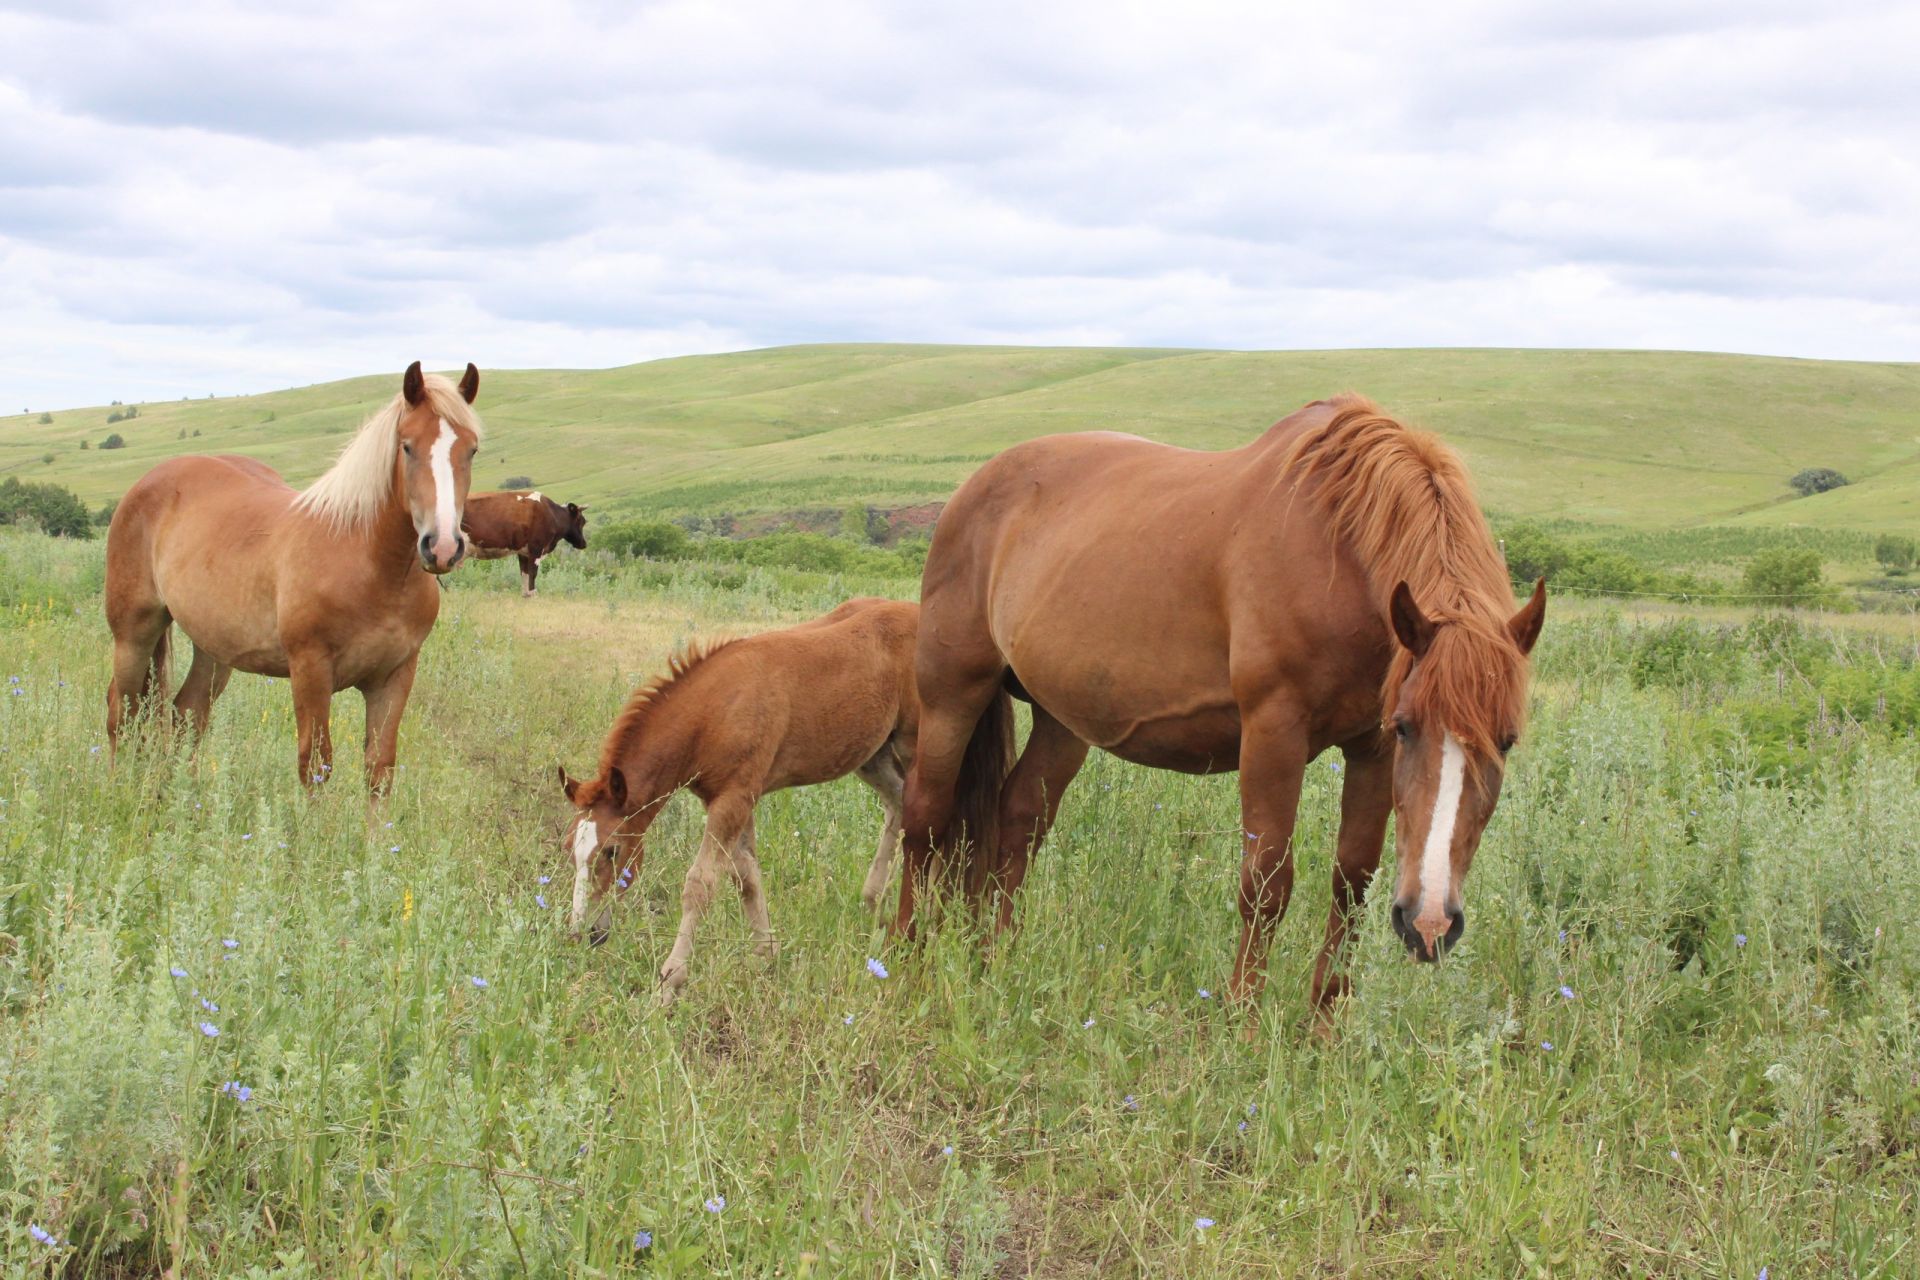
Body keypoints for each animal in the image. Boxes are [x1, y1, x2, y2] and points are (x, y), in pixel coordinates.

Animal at [103, 360, 487, 794]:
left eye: (471, 449)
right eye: (407, 446)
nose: (442, 546)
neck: (371, 565)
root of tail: (147, 483)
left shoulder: (395, 676)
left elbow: (379, 769)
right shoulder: (310, 670)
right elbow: (316, 764)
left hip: (213, 647)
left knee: (187, 713)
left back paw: (181, 795)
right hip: (134, 633)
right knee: (121, 709)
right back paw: (117, 790)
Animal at [556, 598, 967, 997]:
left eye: (612, 851)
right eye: (568, 847)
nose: (583, 933)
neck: (715, 712)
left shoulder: (734, 798)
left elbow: (700, 885)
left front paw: (669, 982)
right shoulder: (733, 797)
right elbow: (746, 876)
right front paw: (766, 957)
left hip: (915, 740)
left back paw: (926, 907)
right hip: (872, 754)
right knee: (898, 806)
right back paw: (874, 900)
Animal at [894, 395, 1543, 1013]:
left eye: (1507, 741)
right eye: (1409, 727)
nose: (1429, 923)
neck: (1338, 552)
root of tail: (975, 486)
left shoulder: (1370, 748)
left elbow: (1352, 881)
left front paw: (1323, 1029)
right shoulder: (1274, 732)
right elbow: (1267, 882)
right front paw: (1242, 1023)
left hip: (1063, 718)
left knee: (1020, 816)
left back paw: (993, 959)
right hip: (953, 692)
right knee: (925, 817)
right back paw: (906, 958)